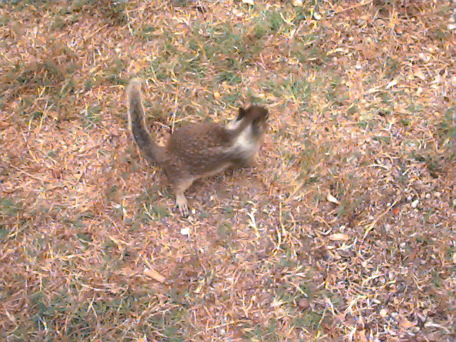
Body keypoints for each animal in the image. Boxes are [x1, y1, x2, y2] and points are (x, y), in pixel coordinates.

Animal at [125, 79, 268, 215]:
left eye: (254, 107)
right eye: (265, 117)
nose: (267, 110)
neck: (239, 130)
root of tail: (165, 152)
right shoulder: (246, 154)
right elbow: (250, 162)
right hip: (183, 178)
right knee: (176, 188)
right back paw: (181, 201)